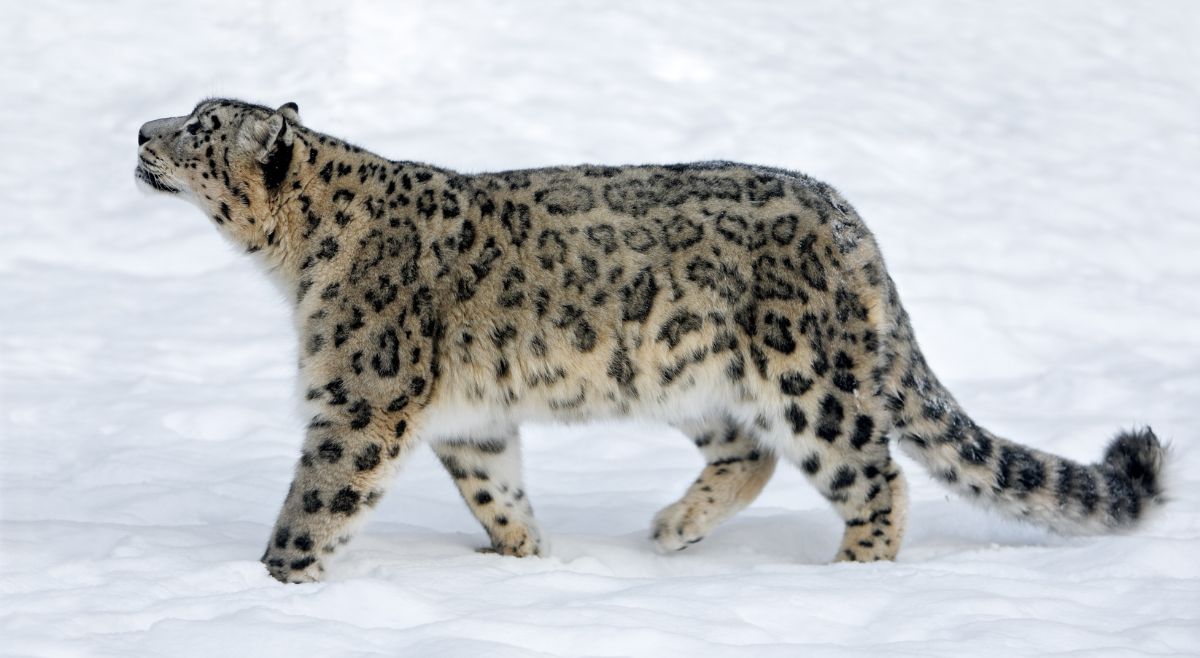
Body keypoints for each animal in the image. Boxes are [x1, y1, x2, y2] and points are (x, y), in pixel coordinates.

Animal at [136, 98, 1167, 583]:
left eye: (199, 128)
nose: (142, 131)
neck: (295, 263)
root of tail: (850, 221)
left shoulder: (361, 398)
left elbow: (316, 500)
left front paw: (272, 583)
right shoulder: (469, 420)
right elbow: (494, 488)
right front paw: (524, 557)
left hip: (809, 377)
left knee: (874, 475)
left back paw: (852, 578)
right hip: (691, 375)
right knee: (748, 451)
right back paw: (673, 529)